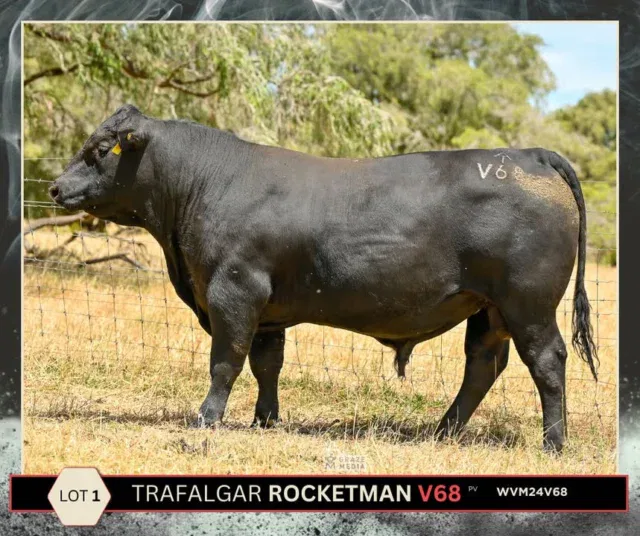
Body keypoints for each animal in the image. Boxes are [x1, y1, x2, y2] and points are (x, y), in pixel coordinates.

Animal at [50, 104, 598, 453]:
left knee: (546, 361)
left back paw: (552, 443)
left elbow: (225, 362)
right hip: (489, 309)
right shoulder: (267, 311)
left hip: (528, 303)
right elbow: (266, 365)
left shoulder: (233, 292)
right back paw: (442, 432)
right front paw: (265, 420)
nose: (55, 187)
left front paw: (206, 418)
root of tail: (528, 154)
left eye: (101, 149)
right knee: (484, 364)